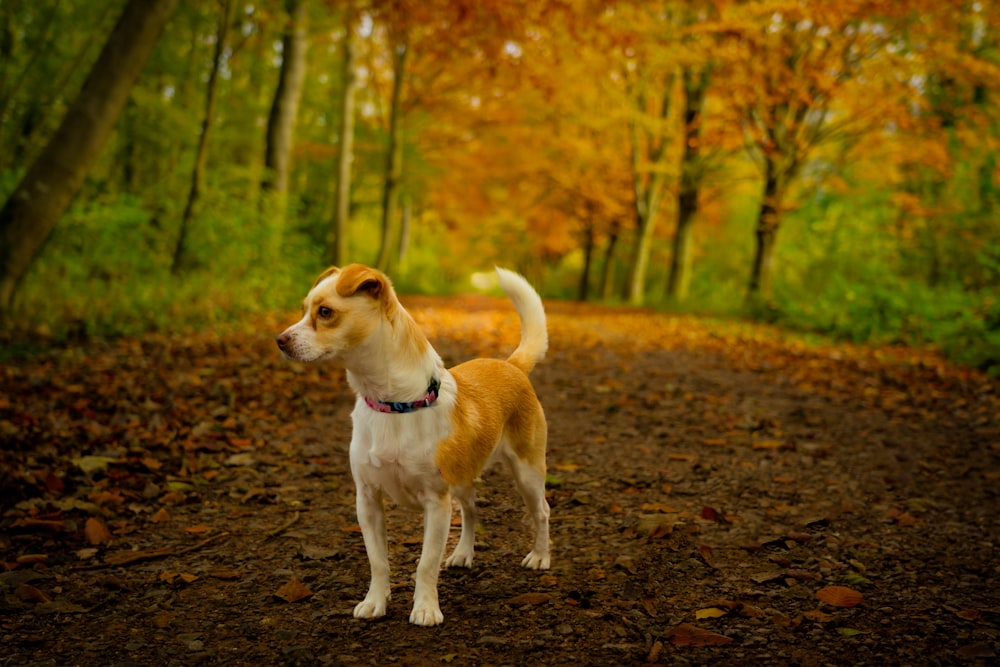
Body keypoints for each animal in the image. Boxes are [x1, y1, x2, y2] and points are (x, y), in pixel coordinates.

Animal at [278, 262, 552, 628]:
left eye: (325, 312)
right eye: (304, 309)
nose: (280, 340)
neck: (394, 403)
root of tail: (510, 365)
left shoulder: (436, 504)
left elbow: (426, 563)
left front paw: (425, 608)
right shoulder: (367, 500)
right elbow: (378, 561)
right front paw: (375, 602)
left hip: (527, 473)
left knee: (542, 511)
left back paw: (540, 556)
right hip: (463, 480)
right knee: (472, 510)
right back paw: (463, 553)